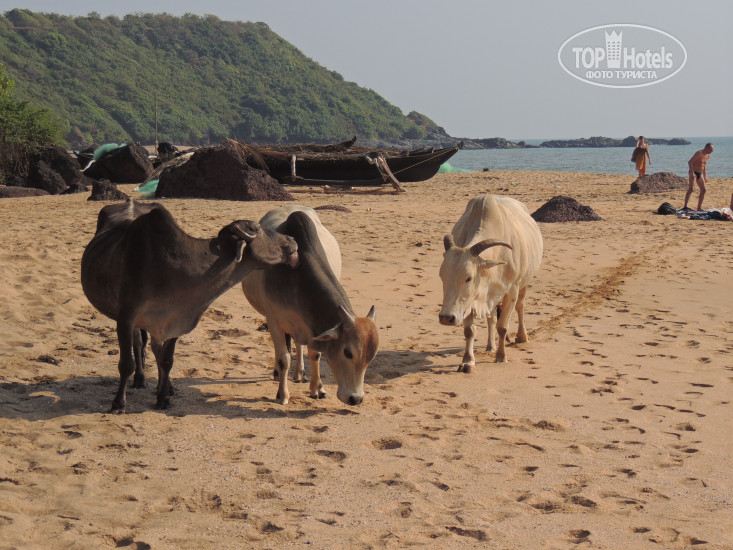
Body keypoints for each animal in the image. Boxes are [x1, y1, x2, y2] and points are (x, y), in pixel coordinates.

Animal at [81, 198, 299, 413]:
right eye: (258, 229)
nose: (292, 240)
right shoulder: (126, 317)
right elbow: (126, 364)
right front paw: (118, 403)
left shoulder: (176, 318)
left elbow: (166, 360)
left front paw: (163, 397)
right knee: (138, 344)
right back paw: (140, 379)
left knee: (152, 348)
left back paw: (164, 386)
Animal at [241, 205, 378, 406]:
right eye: (347, 352)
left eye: (371, 357)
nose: (356, 398)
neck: (297, 275)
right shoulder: (273, 320)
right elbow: (284, 358)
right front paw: (282, 394)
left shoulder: (312, 323)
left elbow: (315, 354)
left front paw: (317, 389)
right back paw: (279, 373)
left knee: (299, 343)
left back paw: (300, 373)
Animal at [439, 194, 543, 369]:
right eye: (442, 275)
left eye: (468, 278)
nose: (447, 318)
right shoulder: (471, 300)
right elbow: (470, 331)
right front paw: (468, 361)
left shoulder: (511, 291)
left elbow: (502, 327)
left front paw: (501, 356)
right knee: (492, 317)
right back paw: (490, 346)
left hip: (523, 284)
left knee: (520, 307)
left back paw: (521, 337)